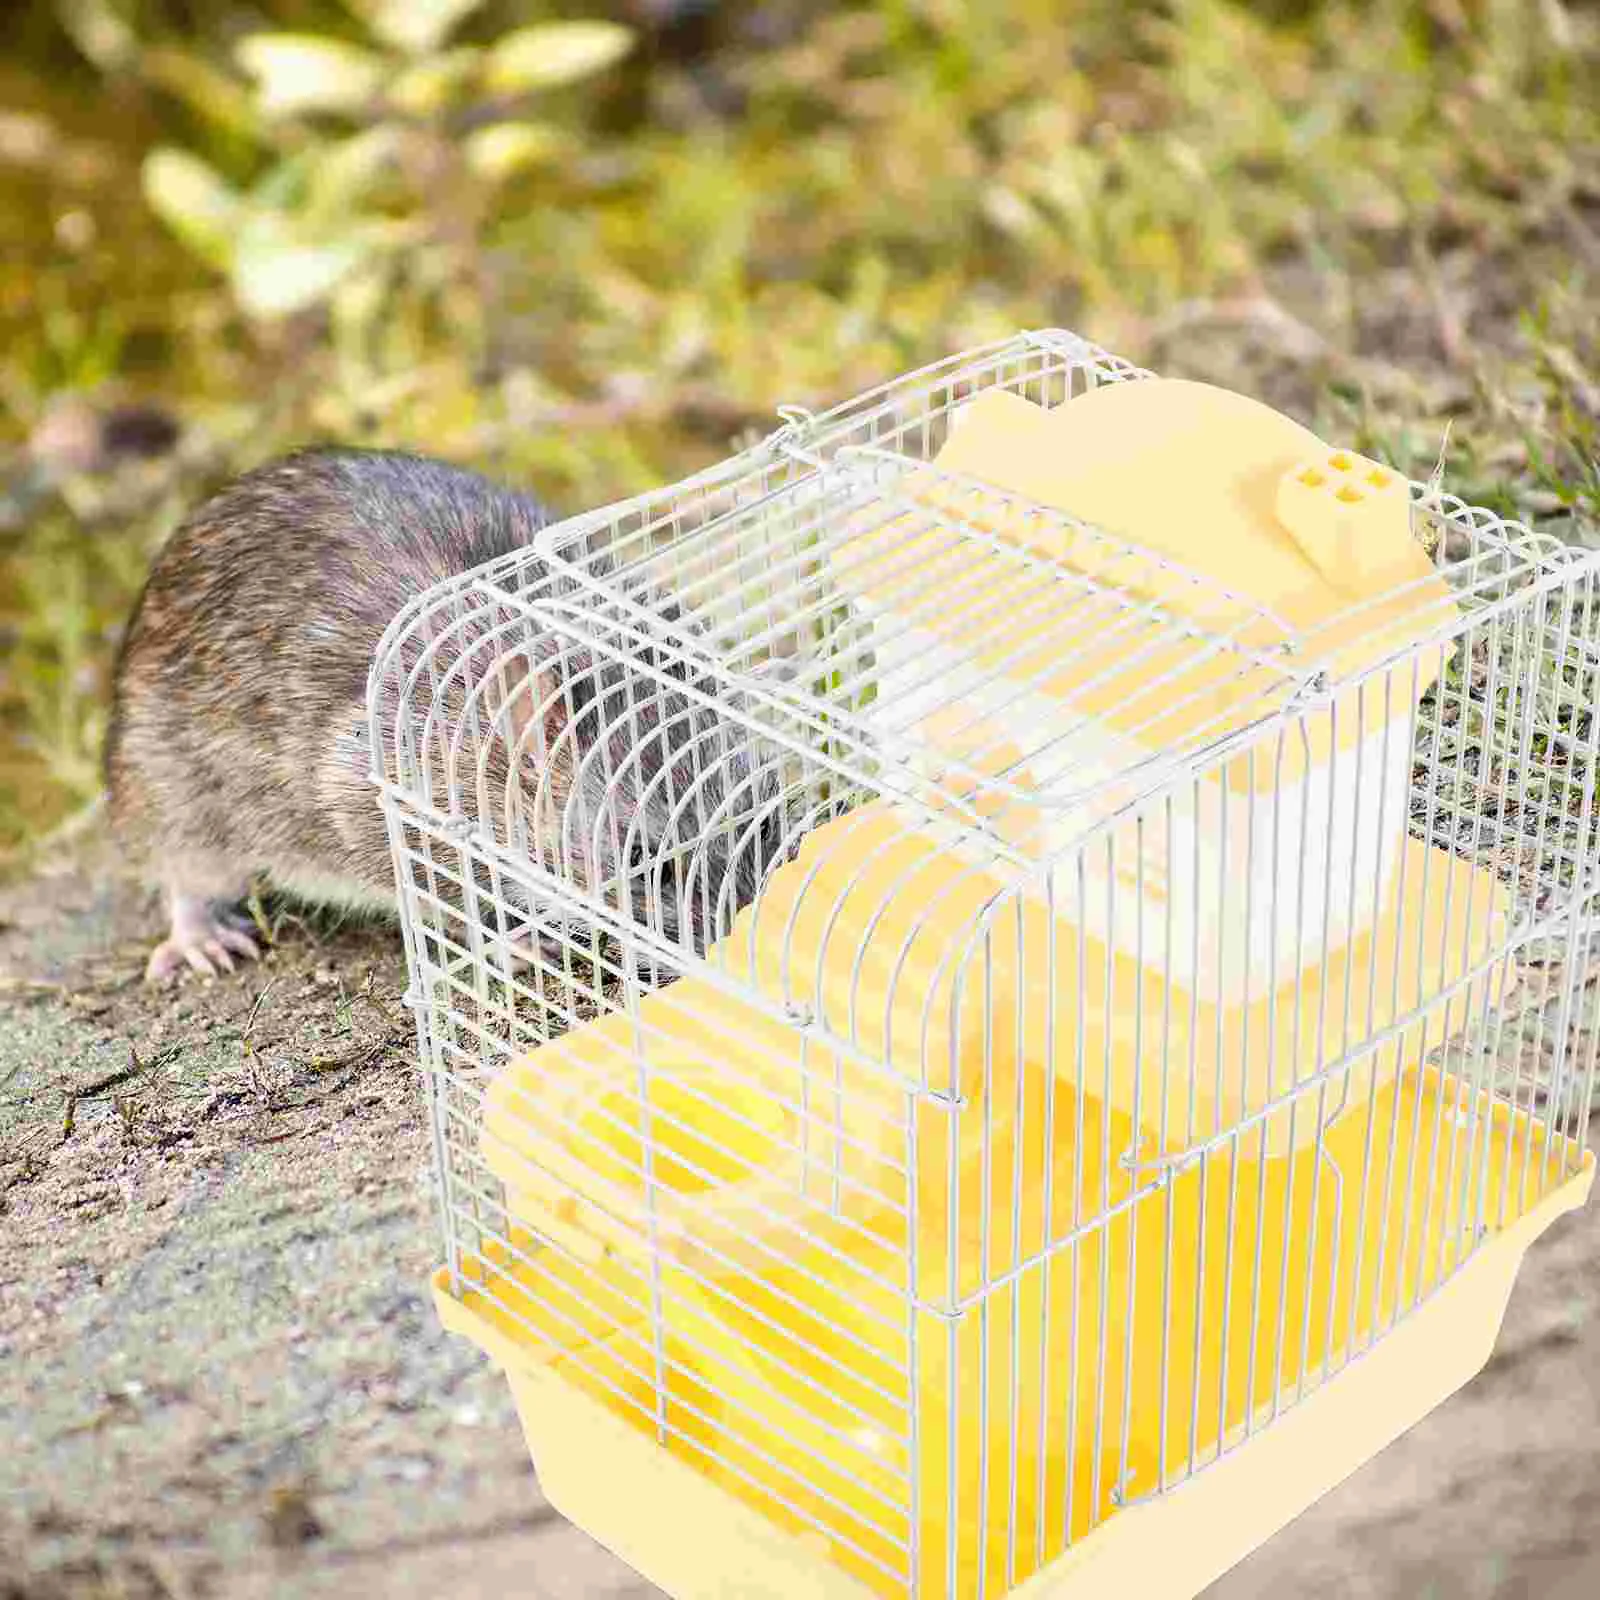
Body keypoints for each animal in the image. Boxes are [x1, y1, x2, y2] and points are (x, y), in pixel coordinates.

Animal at [106, 449, 797, 982]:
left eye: (766, 821)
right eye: (645, 862)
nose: (755, 960)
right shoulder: (378, 815)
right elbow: (456, 906)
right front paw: (518, 945)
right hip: (173, 795)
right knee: (181, 878)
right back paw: (202, 940)